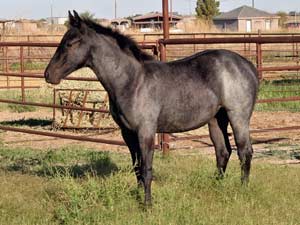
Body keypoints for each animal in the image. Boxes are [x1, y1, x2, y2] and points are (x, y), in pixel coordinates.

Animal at [44, 10, 258, 204]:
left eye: (70, 44)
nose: (48, 75)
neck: (132, 81)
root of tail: (248, 65)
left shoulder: (145, 131)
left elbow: (147, 169)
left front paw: (147, 205)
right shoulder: (128, 133)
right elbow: (137, 167)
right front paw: (138, 196)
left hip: (238, 117)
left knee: (244, 151)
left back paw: (243, 190)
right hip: (216, 119)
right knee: (223, 151)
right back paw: (216, 187)